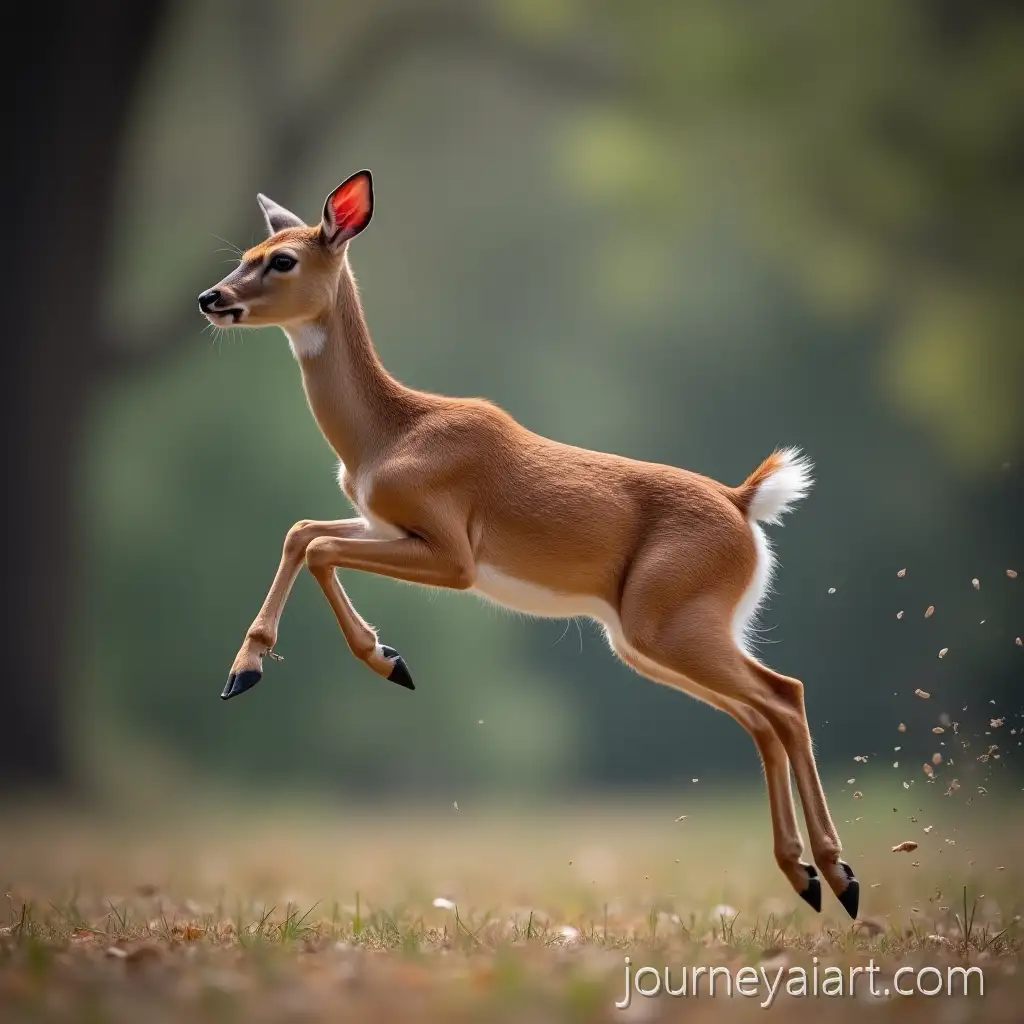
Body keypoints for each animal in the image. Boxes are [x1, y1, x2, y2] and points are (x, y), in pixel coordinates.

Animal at [198, 169, 859, 919]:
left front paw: (384, 660)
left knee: (784, 696)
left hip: (669, 622)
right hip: (649, 637)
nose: (211, 298)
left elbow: (316, 548)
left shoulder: (454, 553)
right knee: (762, 714)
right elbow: (301, 534)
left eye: (282, 260)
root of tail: (743, 504)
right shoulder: (382, 523)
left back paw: (837, 875)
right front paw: (249, 670)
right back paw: (812, 878)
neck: (386, 435)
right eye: (247, 252)